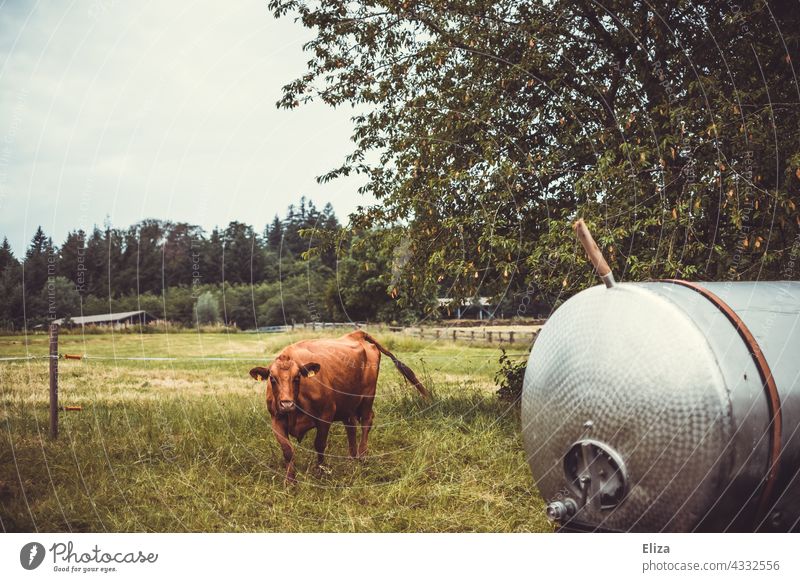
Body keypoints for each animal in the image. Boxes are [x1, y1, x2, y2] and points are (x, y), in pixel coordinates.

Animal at [250, 334, 428, 484]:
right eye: (272, 378)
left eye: (297, 377)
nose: (286, 404)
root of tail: (356, 334)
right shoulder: (276, 419)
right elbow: (287, 450)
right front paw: (290, 481)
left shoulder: (325, 415)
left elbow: (319, 444)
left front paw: (321, 472)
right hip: (347, 405)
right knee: (351, 426)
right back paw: (352, 458)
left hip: (367, 397)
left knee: (366, 422)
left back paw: (362, 456)